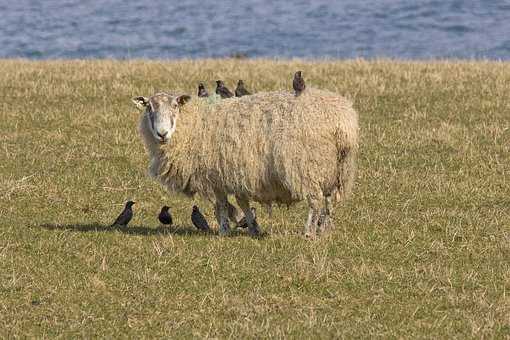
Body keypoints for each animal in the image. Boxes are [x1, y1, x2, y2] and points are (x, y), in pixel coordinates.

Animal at [133, 87, 360, 236]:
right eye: (149, 108)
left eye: (174, 106)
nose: (162, 133)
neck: (193, 124)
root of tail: (342, 122)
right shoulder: (236, 173)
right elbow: (242, 202)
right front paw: (253, 228)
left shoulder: (216, 175)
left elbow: (222, 204)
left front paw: (224, 231)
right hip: (336, 169)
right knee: (329, 201)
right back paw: (325, 229)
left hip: (306, 166)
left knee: (315, 200)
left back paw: (309, 232)